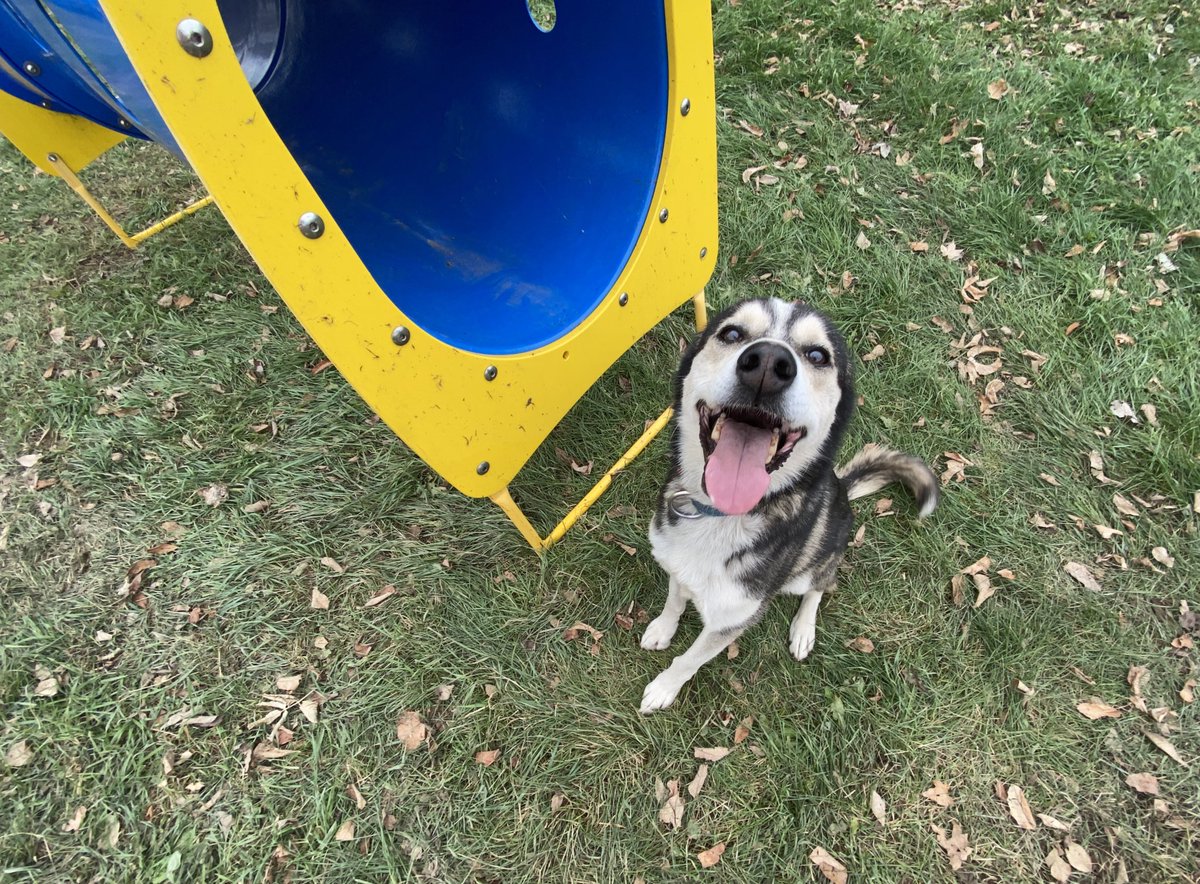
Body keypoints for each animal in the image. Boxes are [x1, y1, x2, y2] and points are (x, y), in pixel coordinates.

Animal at [638, 296, 936, 710]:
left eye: (817, 355)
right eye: (732, 334)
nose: (767, 362)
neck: (724, 516)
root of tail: (841, 486)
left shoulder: (733, 620)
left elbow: (689, 660)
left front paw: (665, 688)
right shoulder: (677, 564)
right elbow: (674, 599)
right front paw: (663, 629)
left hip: (814, 564)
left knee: (821, 585)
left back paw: (803, 629)